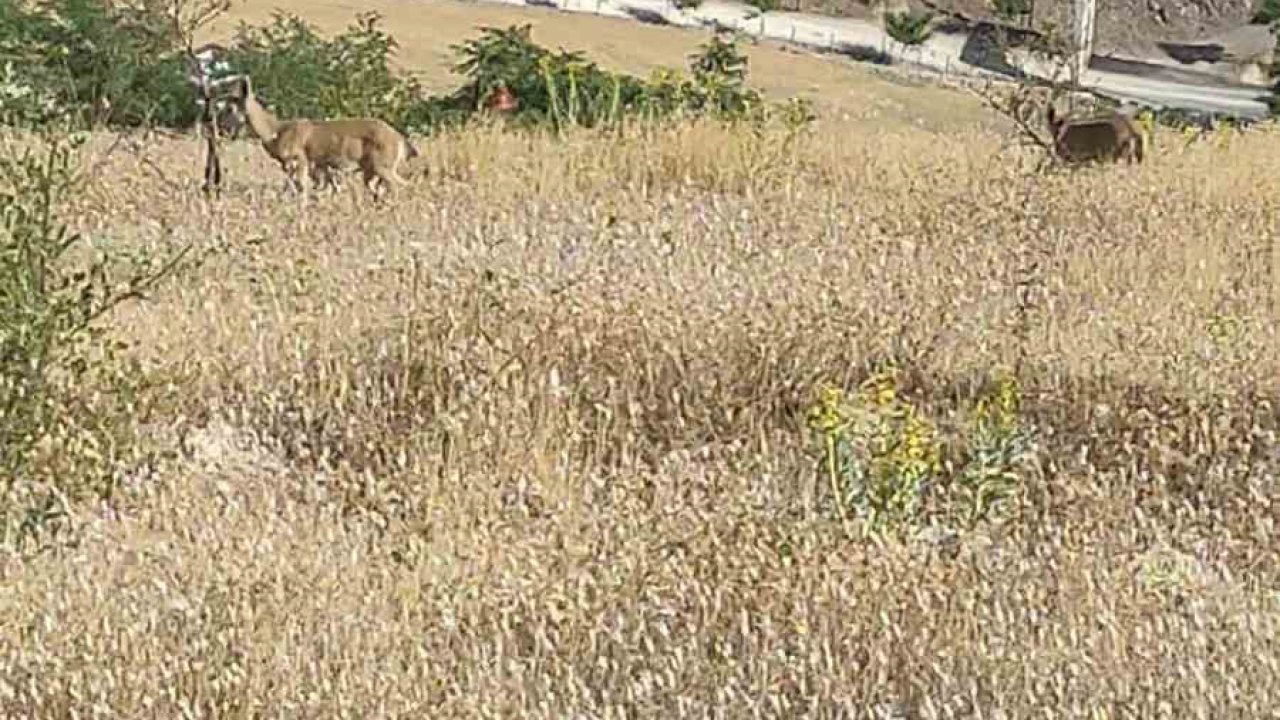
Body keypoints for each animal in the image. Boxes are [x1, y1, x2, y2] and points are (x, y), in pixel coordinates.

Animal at [229, 75, 419, 199]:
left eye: (231, 106)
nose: (226, 130)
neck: (275, 131)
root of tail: (400, 139)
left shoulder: (301, 158)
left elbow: (301, 187)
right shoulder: (316, 165)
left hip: (382, 165)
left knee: (399, 185)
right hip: (371, 170)